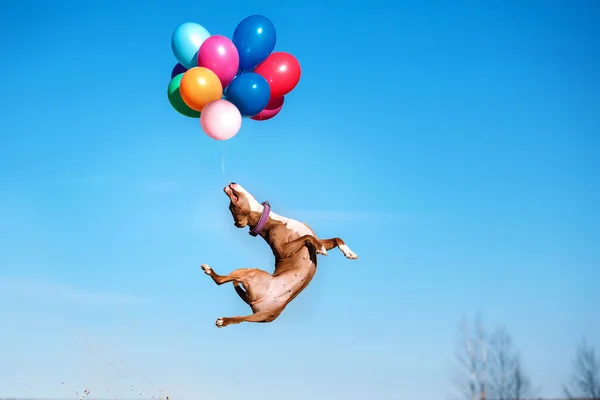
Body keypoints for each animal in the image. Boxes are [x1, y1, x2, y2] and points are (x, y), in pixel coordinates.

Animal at [199, 183, 358, 326]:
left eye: (231, 207)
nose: (226, 187)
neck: (273, 220)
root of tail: (256, 301)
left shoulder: (317, 238)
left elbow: (336, 239)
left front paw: (348, 252)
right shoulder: (283, 250)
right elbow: (307, 237)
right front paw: (320, 248)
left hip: (261, 316)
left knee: (240, 319)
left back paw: (225, 320)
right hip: (250, 272)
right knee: (220, 281)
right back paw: (210, 271)